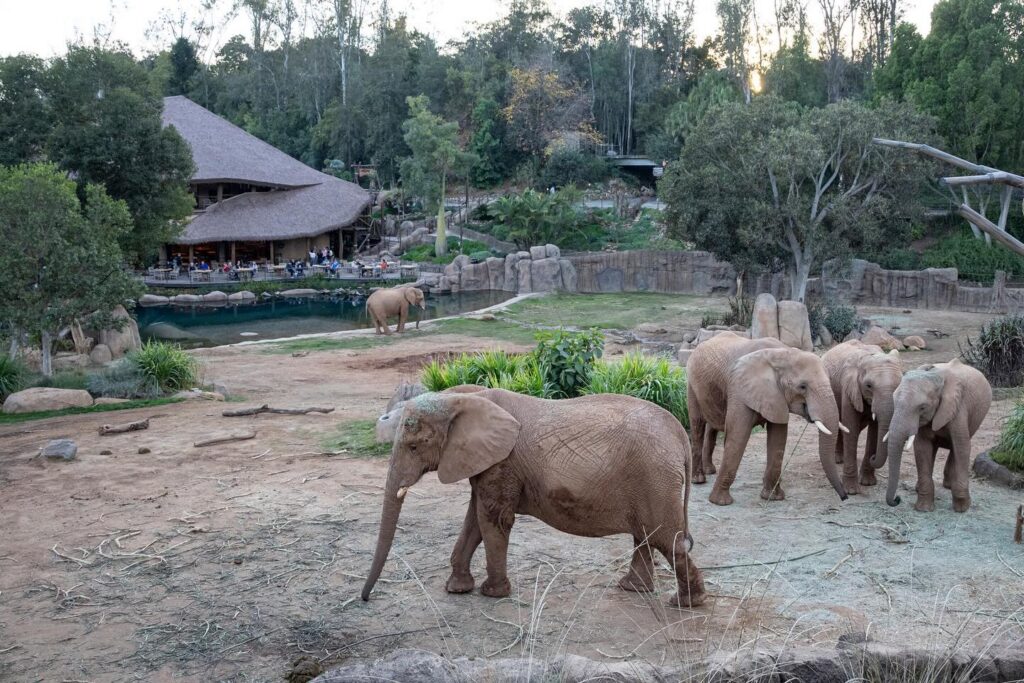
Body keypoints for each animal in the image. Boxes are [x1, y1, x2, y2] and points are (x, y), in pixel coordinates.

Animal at [361, 388, 706, 608]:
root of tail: (679, 434)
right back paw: (633, 588)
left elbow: (493, 519)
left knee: (665, 538)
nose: (365, 598)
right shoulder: (486, 462)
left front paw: (492, 594)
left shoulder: (503, 462)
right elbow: (474, 519)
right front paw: (457, 589)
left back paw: (686, 603)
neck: (462, 398)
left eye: (414, 446)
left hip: (655, 476)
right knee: (646, 534)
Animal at [686, 332, 848, 506]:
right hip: (691, 383)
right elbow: (738, 436)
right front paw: (720, 502)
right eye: (802, 386)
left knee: (713, 425)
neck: (782, 354)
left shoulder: (777, 397)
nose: (844, 497)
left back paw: (710, 471)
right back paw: (699, 480)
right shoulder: (740, 388)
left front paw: (773, 497)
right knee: (698, 425)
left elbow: (778, 438)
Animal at [822, 341, 903, 495]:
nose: (873, 457)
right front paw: (851, 491)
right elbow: (851, 428)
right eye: (868, 386)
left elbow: (875, 431)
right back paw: (838, 460)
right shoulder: (849, 387)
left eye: (900, 385)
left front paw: (868, 483)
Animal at [875, 359, 992, 512]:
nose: (897, 499)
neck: (936, 377)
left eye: (922, 407)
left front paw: (962, 508)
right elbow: (922, 449)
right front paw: (924, 508)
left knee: (956, 447)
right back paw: (921, 488)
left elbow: (962, 447)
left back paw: (949, 486)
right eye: (894, 402)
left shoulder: (958, 408)